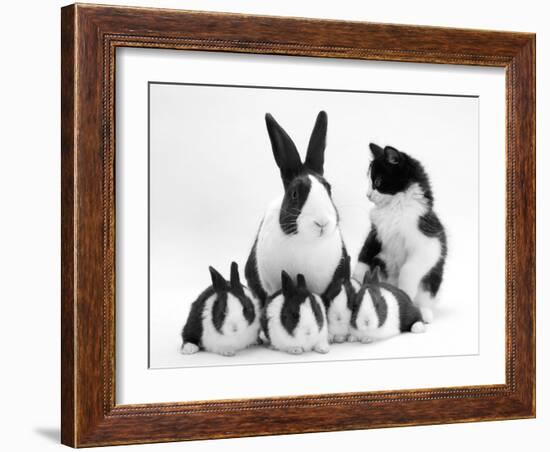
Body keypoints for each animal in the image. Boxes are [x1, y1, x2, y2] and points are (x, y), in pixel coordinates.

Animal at [358, 144, 448, 310]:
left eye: (378, 182)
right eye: (368, 181)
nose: (367, 195)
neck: (395, 207)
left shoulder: (429, 243)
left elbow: (408, 270)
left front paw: (404, 292)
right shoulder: (375, 232)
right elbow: (364, 255)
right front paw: (356, 279)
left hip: (432, 281)